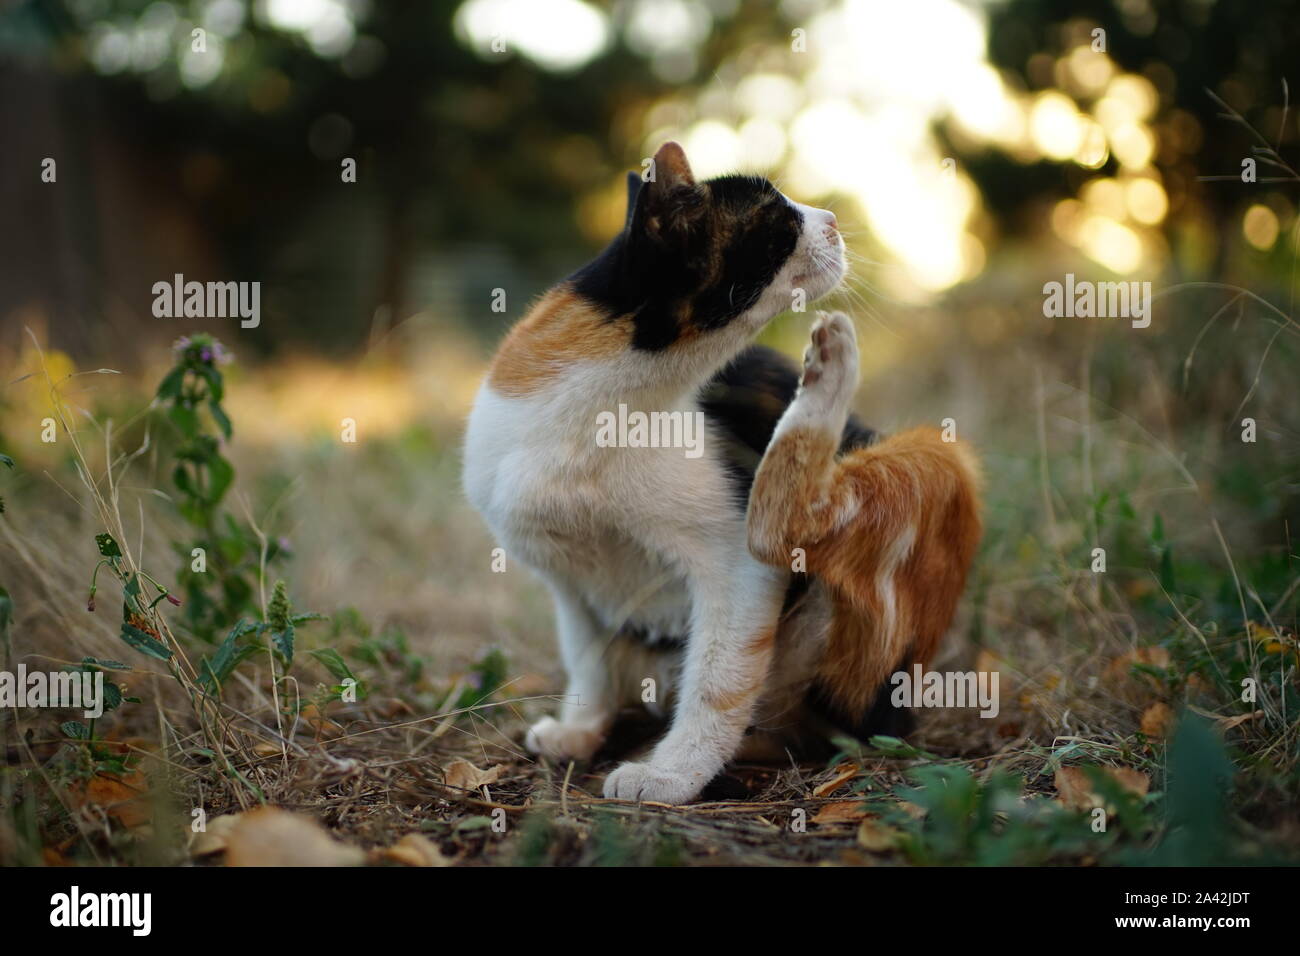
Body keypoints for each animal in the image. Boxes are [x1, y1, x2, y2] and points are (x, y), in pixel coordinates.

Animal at [462, 141, 977, 806]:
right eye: (778, 219)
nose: (834, 219)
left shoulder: (734, 566)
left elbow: (716, 683)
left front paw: (670, 776)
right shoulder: (567, 582)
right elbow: (588, 660)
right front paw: (580, 730)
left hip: (927, 463)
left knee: (789, 542)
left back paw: (830, 368)